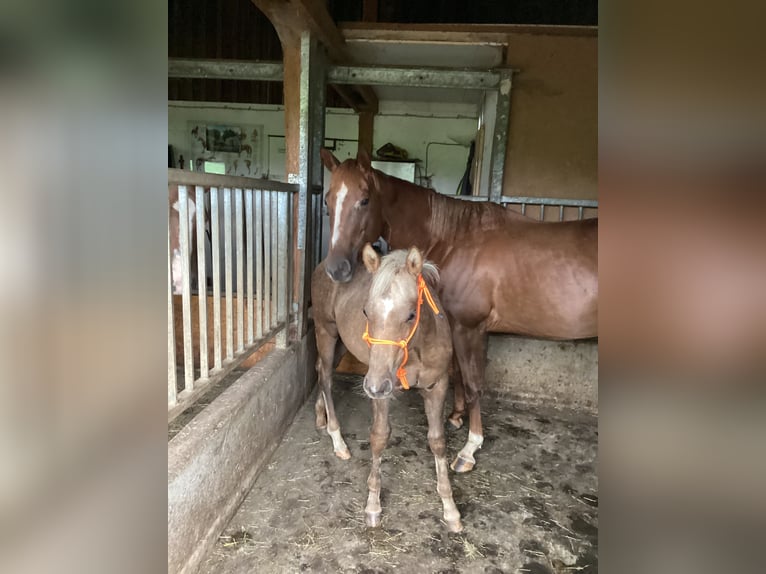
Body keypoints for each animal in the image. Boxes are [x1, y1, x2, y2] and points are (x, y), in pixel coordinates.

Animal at [311, 244, 462, 532]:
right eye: (366, 312)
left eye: (411, 314)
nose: (373, 386)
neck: (416, 350)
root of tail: (323, 265)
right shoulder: (383, 391)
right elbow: (380, 437)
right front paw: (373, 506)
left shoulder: (437, 386)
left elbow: (437, 441)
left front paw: (450, 509)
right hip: (326, 331)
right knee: (325, 376)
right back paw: (338, 440)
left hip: (343, 344)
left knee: (319, 369)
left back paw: (320, 415)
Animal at [319, 148, 598, 473]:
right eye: (327, 199)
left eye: (364, 199)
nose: (336, 269)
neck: (454, 239)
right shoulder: (464, 327)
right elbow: (461, 377)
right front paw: (456, 416)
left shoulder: (469, 327)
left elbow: (474, 384)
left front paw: (469, 449)